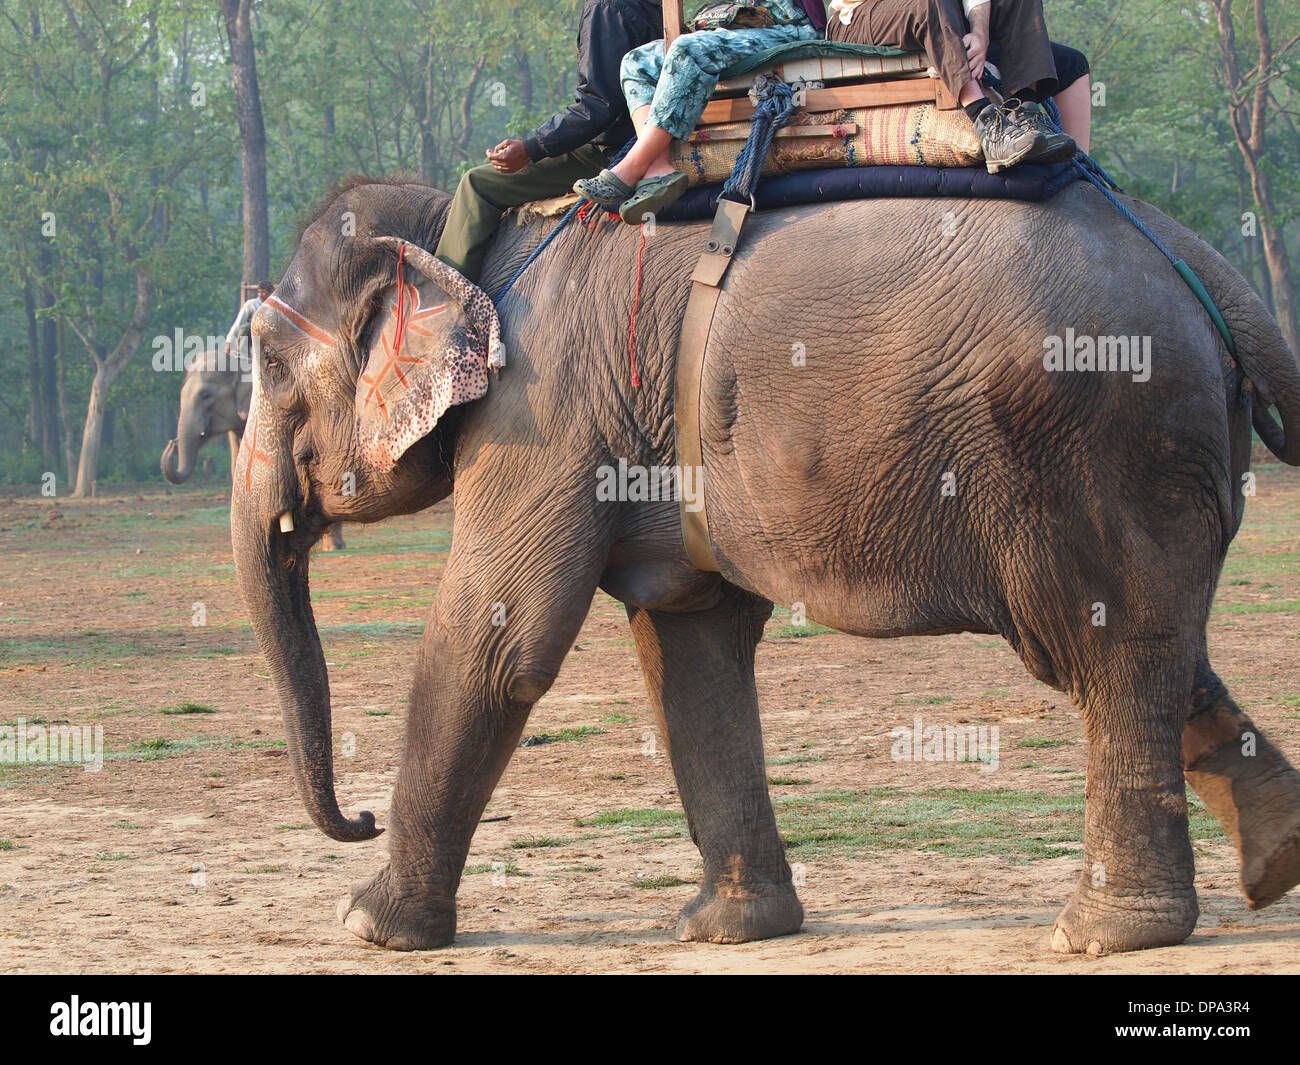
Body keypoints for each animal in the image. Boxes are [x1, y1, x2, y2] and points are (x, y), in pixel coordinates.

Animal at [228, 176, 1300, 957]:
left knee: (1102, 650)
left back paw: (1104, 935)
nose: (360, 815)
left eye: (271, 364)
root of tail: (1208, 271)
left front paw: (366, 924)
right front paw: (728, 929)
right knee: (1161, 649)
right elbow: (690, 645)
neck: (459, 237)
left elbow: (498, 638)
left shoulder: (542, 408)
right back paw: (1276, 864)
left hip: (1097, 438)